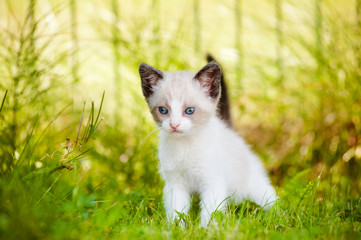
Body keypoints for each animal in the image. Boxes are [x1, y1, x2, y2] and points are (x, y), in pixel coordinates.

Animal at [138, 61, 276, 226]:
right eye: (163, 110)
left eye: (189, 110)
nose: (174, 125)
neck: (185, 145)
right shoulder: (175, 184)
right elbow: (176, 211)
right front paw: (176, 228)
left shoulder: (213, 182)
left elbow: (210, 213)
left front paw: (205, 229)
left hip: (253, 186)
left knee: (270, 198)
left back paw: (279, 216)